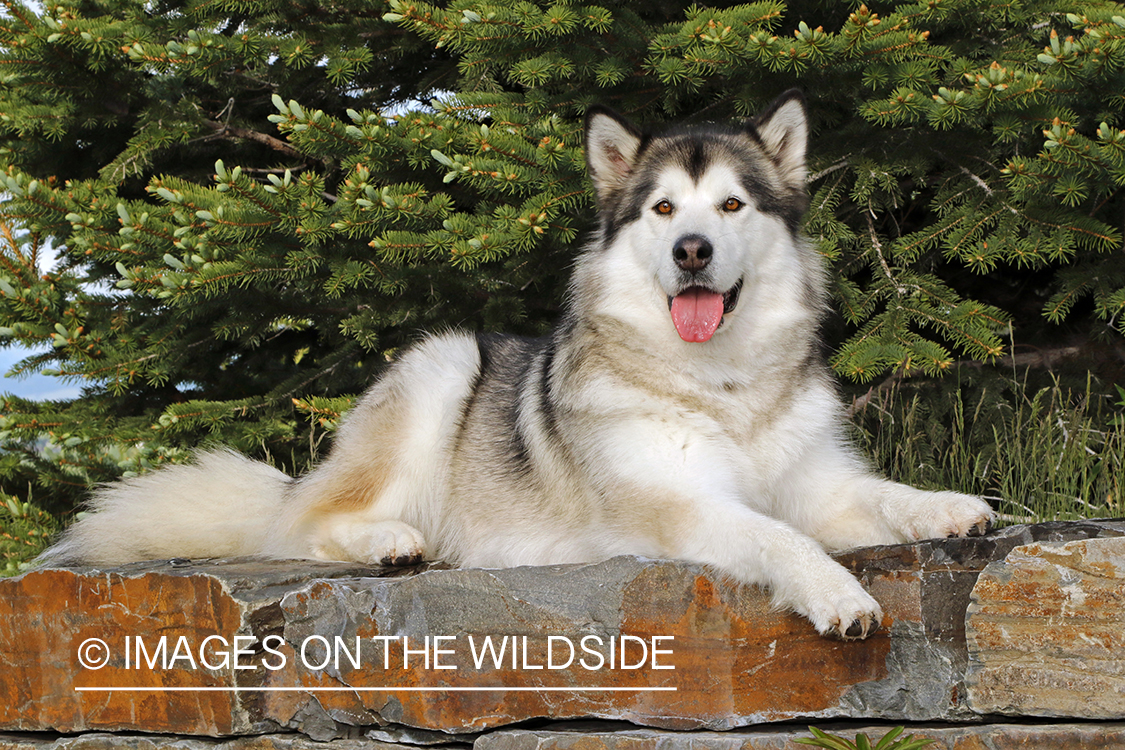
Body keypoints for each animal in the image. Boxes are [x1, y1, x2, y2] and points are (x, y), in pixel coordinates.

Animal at [41, 89, 994, 638]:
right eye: (661, 209)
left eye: (730, 204)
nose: (689, 250)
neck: (721, 386)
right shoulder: (680, 505)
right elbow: (778, 536)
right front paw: (838, 593)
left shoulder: (819, 485)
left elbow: (882, 495)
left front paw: (949, 507)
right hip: (438, 368)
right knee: (302, 528)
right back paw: (390, 541)